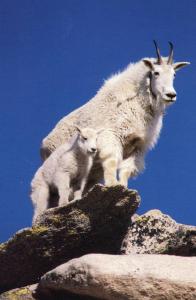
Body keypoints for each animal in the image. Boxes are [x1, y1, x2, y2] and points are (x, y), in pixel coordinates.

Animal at [40, 41, 189, 189]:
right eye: (156, 73)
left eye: (174, 74)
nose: (171, 95)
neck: (138, 102)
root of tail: (44, 146)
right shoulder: (111, 134)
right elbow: (111, 160)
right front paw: (112, 184)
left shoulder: (139, 146)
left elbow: (127, 169)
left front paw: (123, 187)